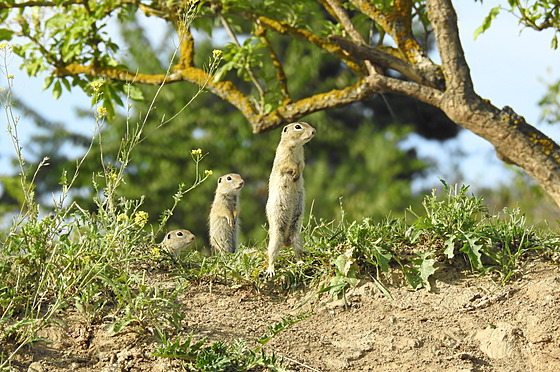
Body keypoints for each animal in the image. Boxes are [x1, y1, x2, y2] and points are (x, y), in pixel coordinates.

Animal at [266, 120, 316, 278]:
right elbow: (288, 166)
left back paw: (300, 263)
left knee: (297, 252)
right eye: (298, 126)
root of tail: (285, 241)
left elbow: (302, 166)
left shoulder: (301, 158)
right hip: (275, 237)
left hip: (297, 236)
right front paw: (294, 174)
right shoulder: (284, 156)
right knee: (271, 255)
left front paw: (297, 175)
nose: (314, 131)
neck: (297, 146)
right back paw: (271, 270)